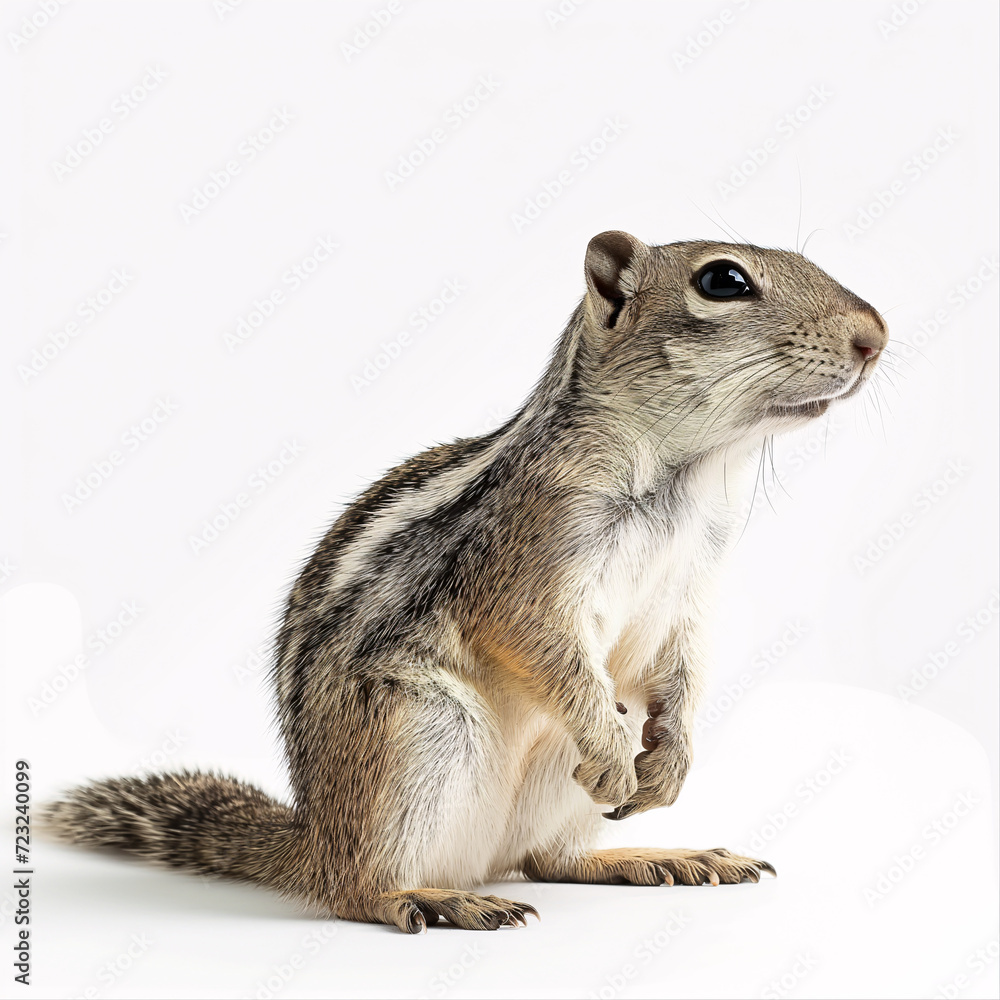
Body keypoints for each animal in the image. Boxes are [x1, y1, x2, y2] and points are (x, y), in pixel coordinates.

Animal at [43, 231, 888, 933]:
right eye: (723, 280)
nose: (874, 337)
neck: (688, 474)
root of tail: (309, 840)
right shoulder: (532, 549)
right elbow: (529, 634)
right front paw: (619, 757)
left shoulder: (689, 590)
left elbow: (678, 668)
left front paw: (671, 760)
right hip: (417, 733)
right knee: (353, 890)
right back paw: (430, 897)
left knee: (549, 861)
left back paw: (649, 857)